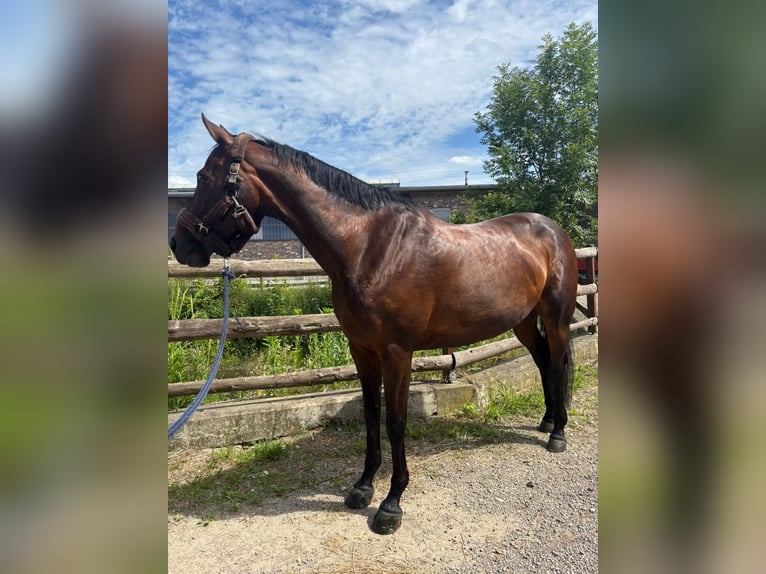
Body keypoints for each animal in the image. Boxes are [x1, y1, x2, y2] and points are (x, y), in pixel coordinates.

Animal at [170, 114, 579, 534]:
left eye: (204, 177)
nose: (179, 244)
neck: (369, 247)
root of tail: (553, 230)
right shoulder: (361, 348)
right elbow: (370, 414)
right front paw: (363, 487)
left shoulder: (397, 351)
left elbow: (395, 420)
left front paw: (391, 504)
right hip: (524, 322)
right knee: (543, 362)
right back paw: (547, 421)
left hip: (556, 318)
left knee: (557, 364)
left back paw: (558, 433)